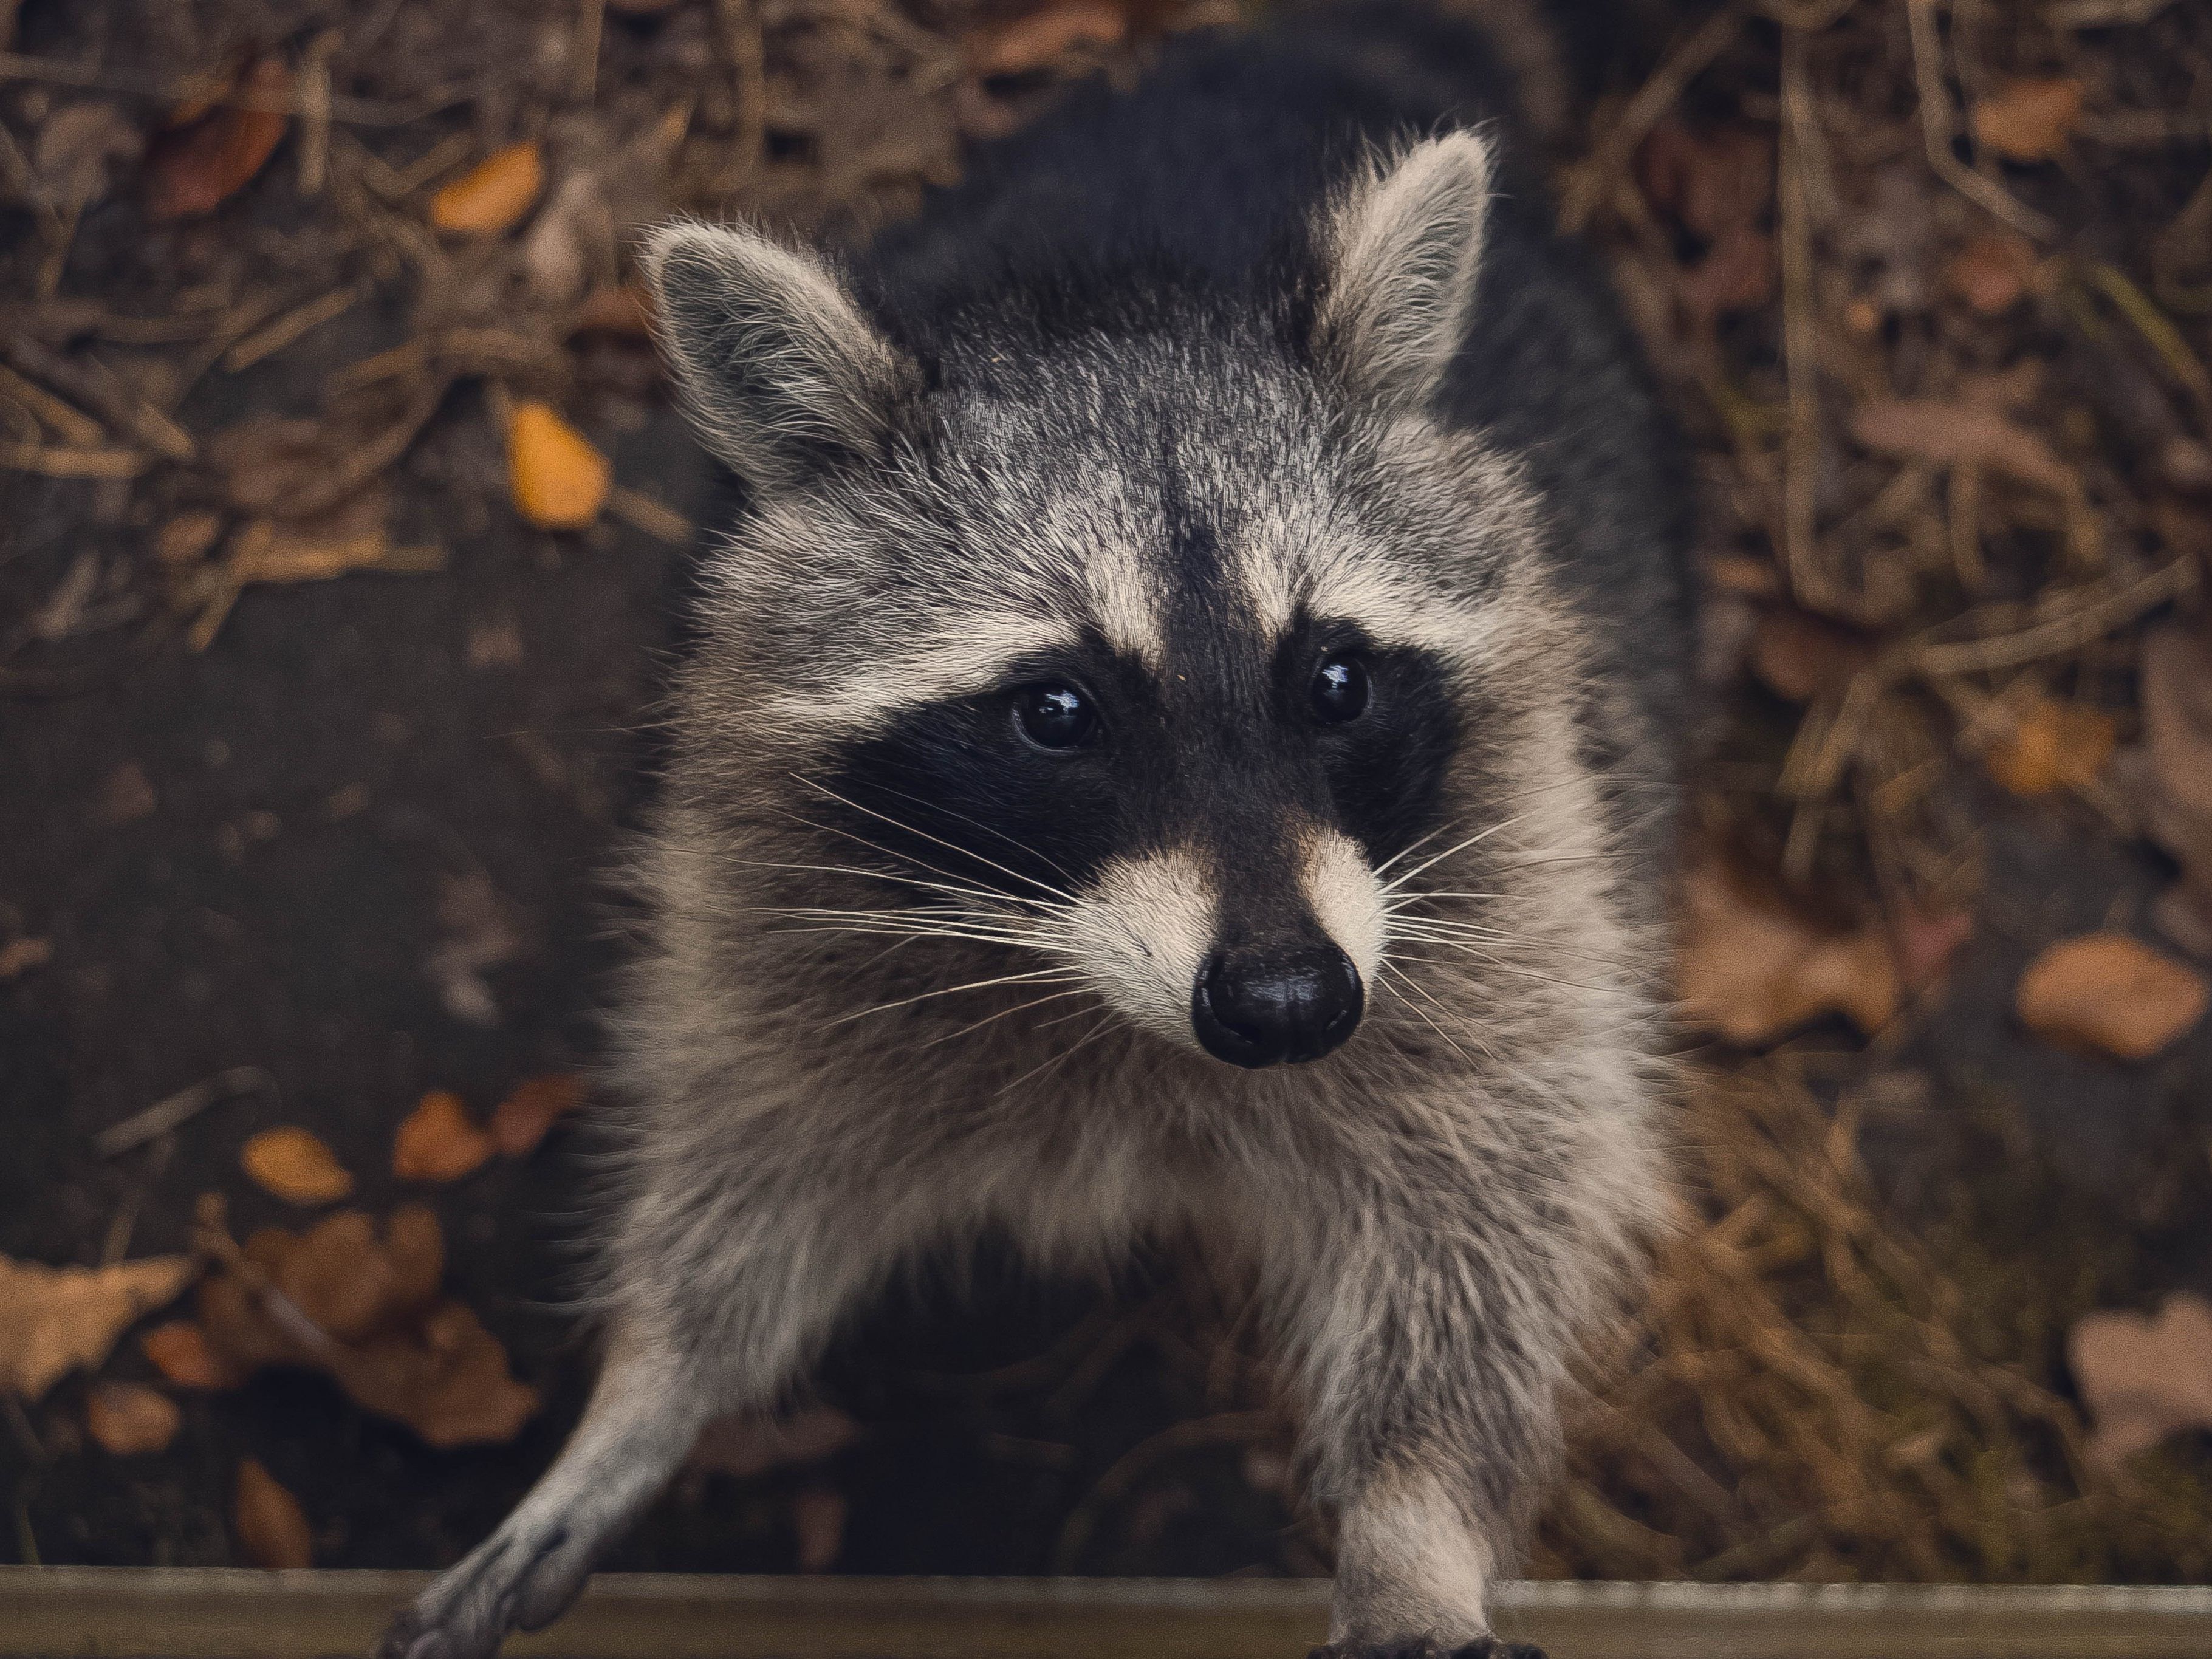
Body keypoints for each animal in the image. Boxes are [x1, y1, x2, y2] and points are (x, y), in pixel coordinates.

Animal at [380, 3, 1690, 1659]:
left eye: (1333, 679)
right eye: (1057, 712)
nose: (1286, 1003)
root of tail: (1312, 53)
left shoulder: (1511, 874)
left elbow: (1489, 1203)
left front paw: (1414, 1524)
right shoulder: (768, 884)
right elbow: (748, 1148)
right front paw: (647, 1387)